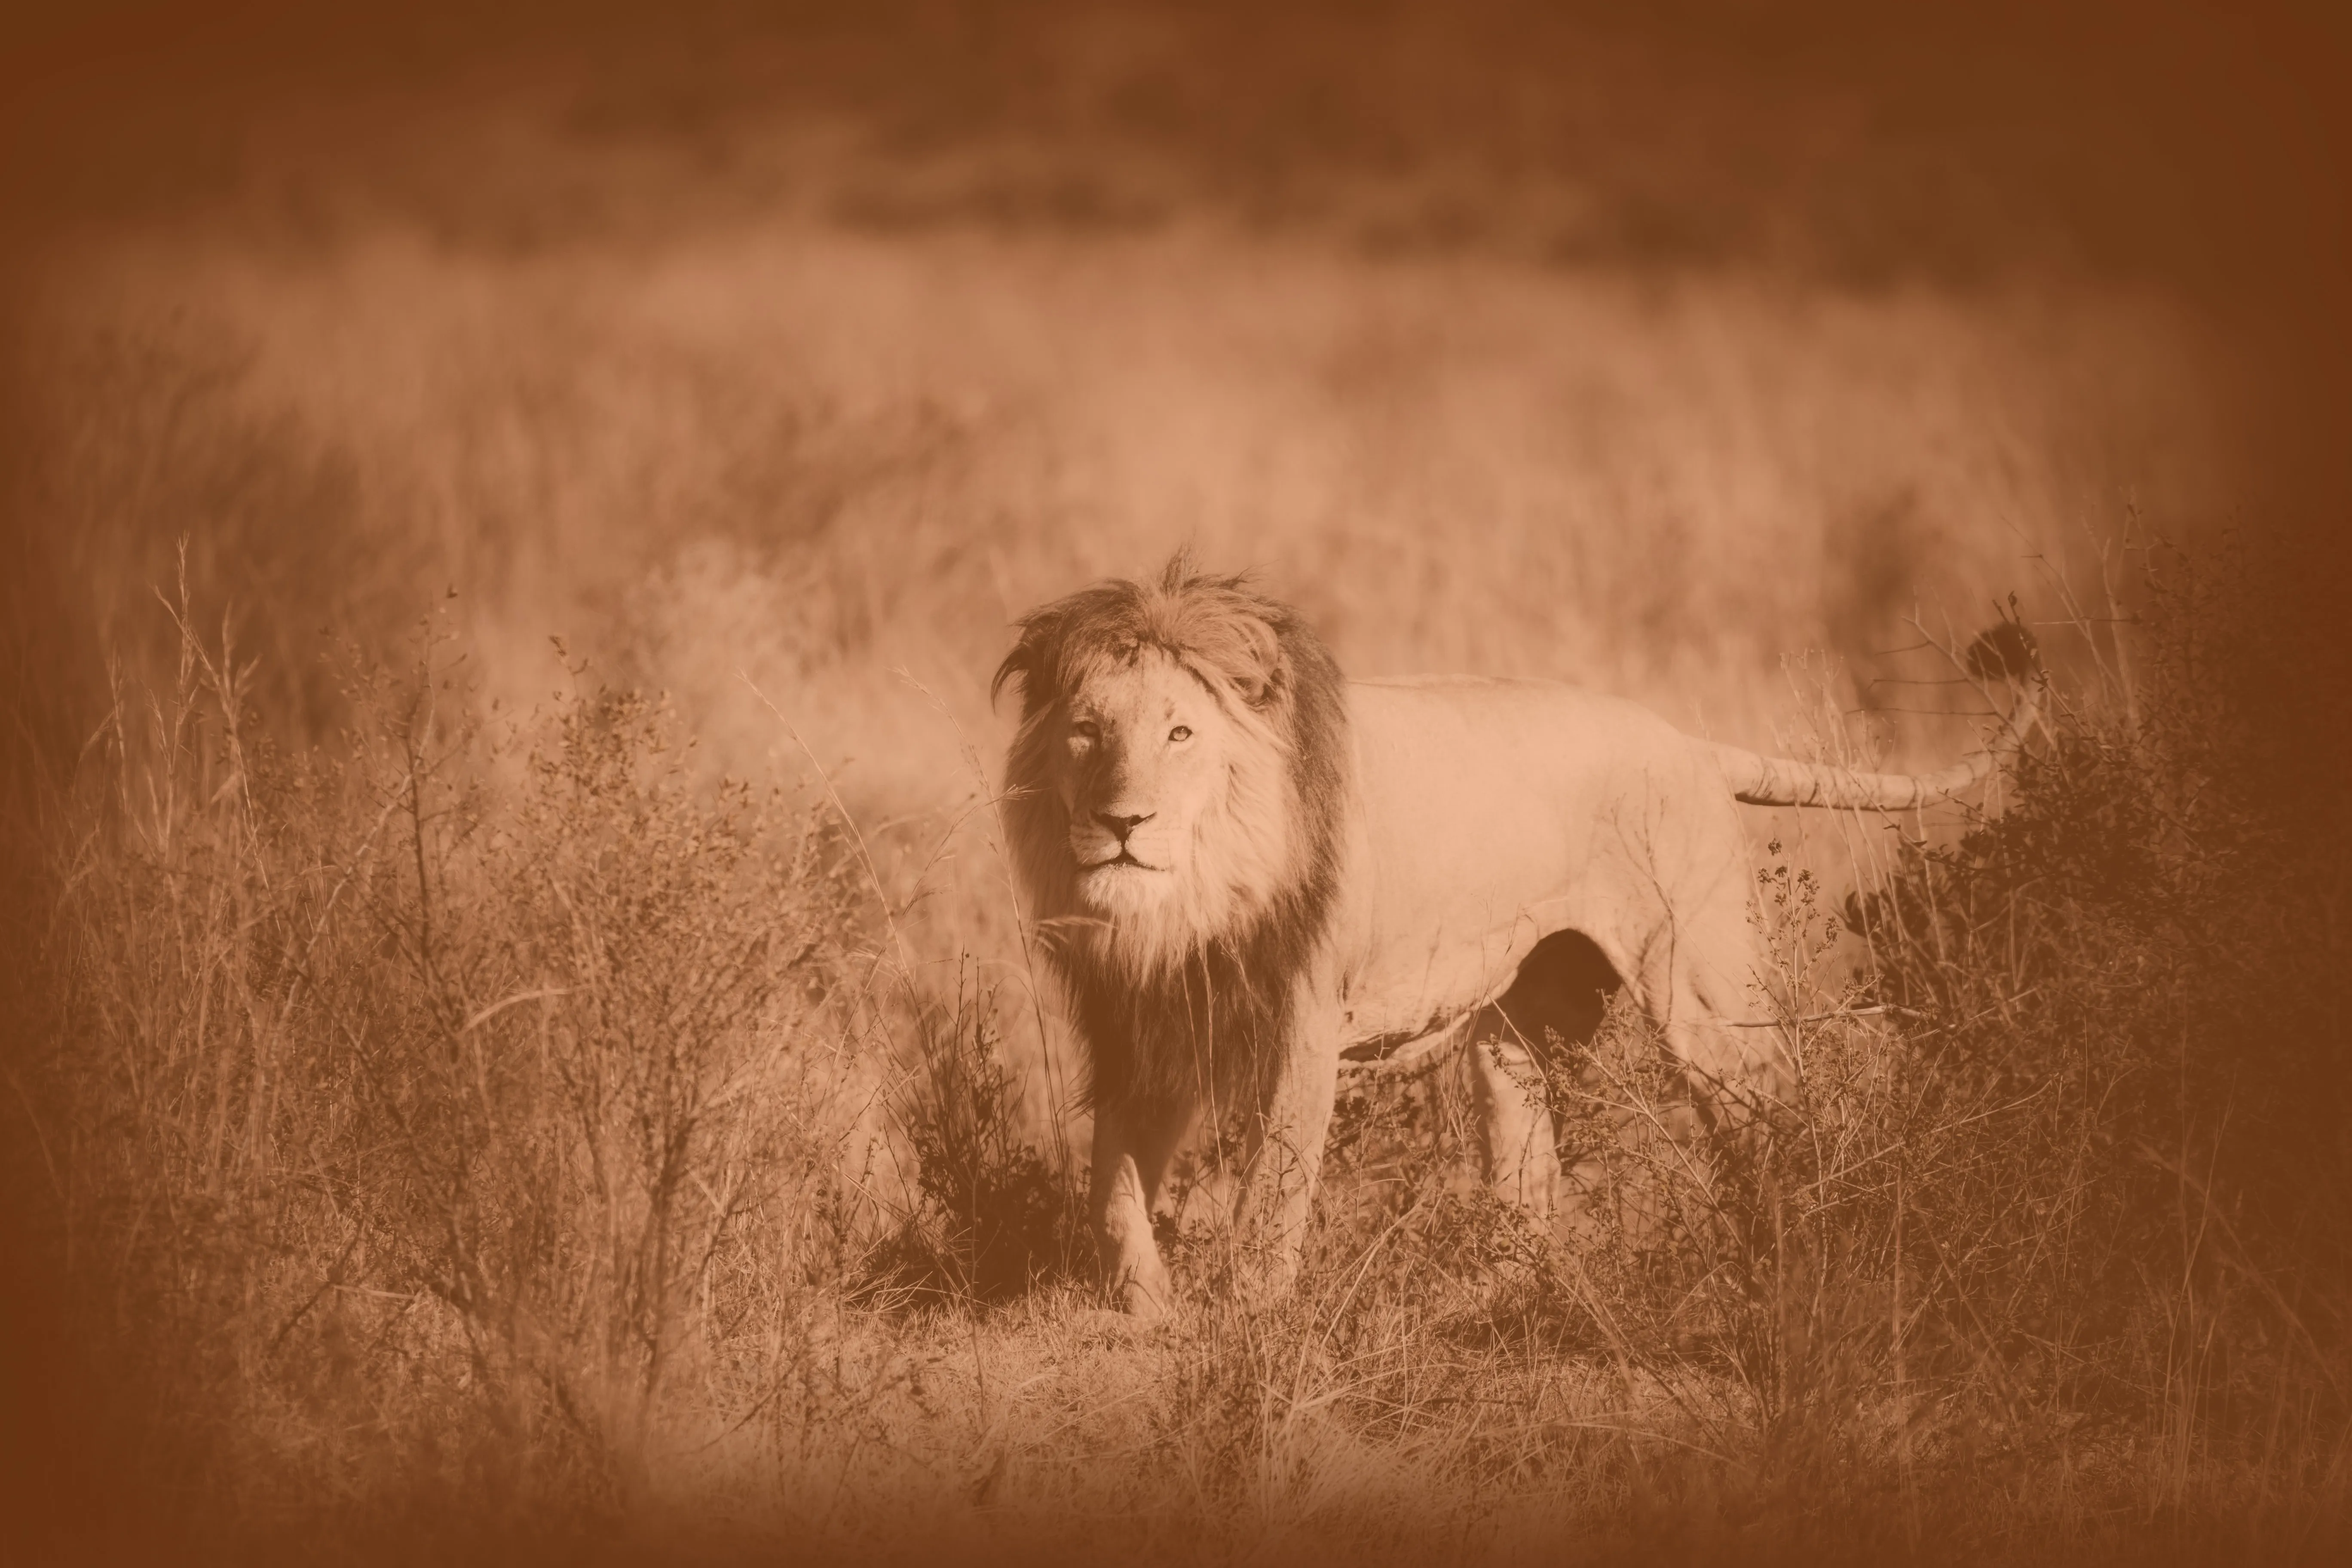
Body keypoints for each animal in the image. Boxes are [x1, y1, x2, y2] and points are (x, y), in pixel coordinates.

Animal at [994, 557, 2039, 1317]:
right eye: (1085, 731)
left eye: (1180, 735)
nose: (1122, 823)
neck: (1189, 904)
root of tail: (1687, 741)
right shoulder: (1140, 1025)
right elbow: (1112, 1184)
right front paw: (1143, 1310)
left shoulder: (1304, 1020)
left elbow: (1273, 1190)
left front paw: (1243, 1317)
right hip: (1520, 1023)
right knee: (1529, 1168)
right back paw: (1475, 1300)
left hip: (1702, 989)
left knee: (1769, 1105)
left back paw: (1794, 1252)